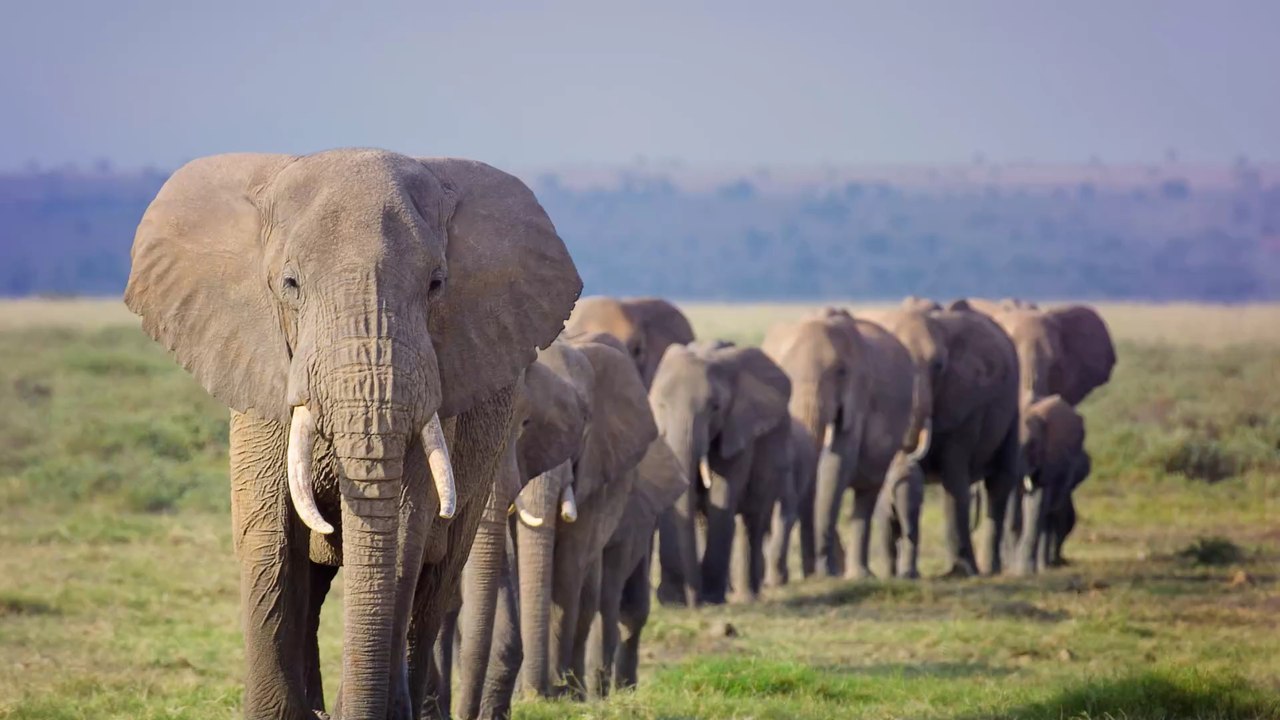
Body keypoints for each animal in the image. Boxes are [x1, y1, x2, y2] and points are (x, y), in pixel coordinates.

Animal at [124, 150, 581, 720]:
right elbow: (268, 534)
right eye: (290, 284)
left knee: (435, 583)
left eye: (436, 285)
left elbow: (406, 528)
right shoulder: (260, 371)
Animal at [512, 333, 659, 698]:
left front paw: (554, 692)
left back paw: (577, 690)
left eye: (586, 423)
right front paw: (530, 694)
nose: (536, 691)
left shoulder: (597, 468)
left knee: (589, 596)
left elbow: (568, 565)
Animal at [651, 340, 793, 606]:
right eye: (660, 406)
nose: (692, 602)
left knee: (753, 519)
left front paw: (711, 598)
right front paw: (673, 600)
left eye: (714, 408)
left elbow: (722, 495)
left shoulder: (738, 428)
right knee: (707, 519)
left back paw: (748, 595)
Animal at [761, 308, 919, 581]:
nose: (815, 571)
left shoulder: (859, 394)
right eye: (783, 372)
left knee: (867, 494)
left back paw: (859, 575)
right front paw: (813, 574)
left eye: (841, 372)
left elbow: (837, 461)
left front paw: (824, 573)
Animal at [864, 298, 1022, 578]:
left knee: (1000, 481)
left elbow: (955, 477)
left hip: (1012, 406)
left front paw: (961, 572)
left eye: (938, 366)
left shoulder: (967, 401)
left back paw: (990, 570)